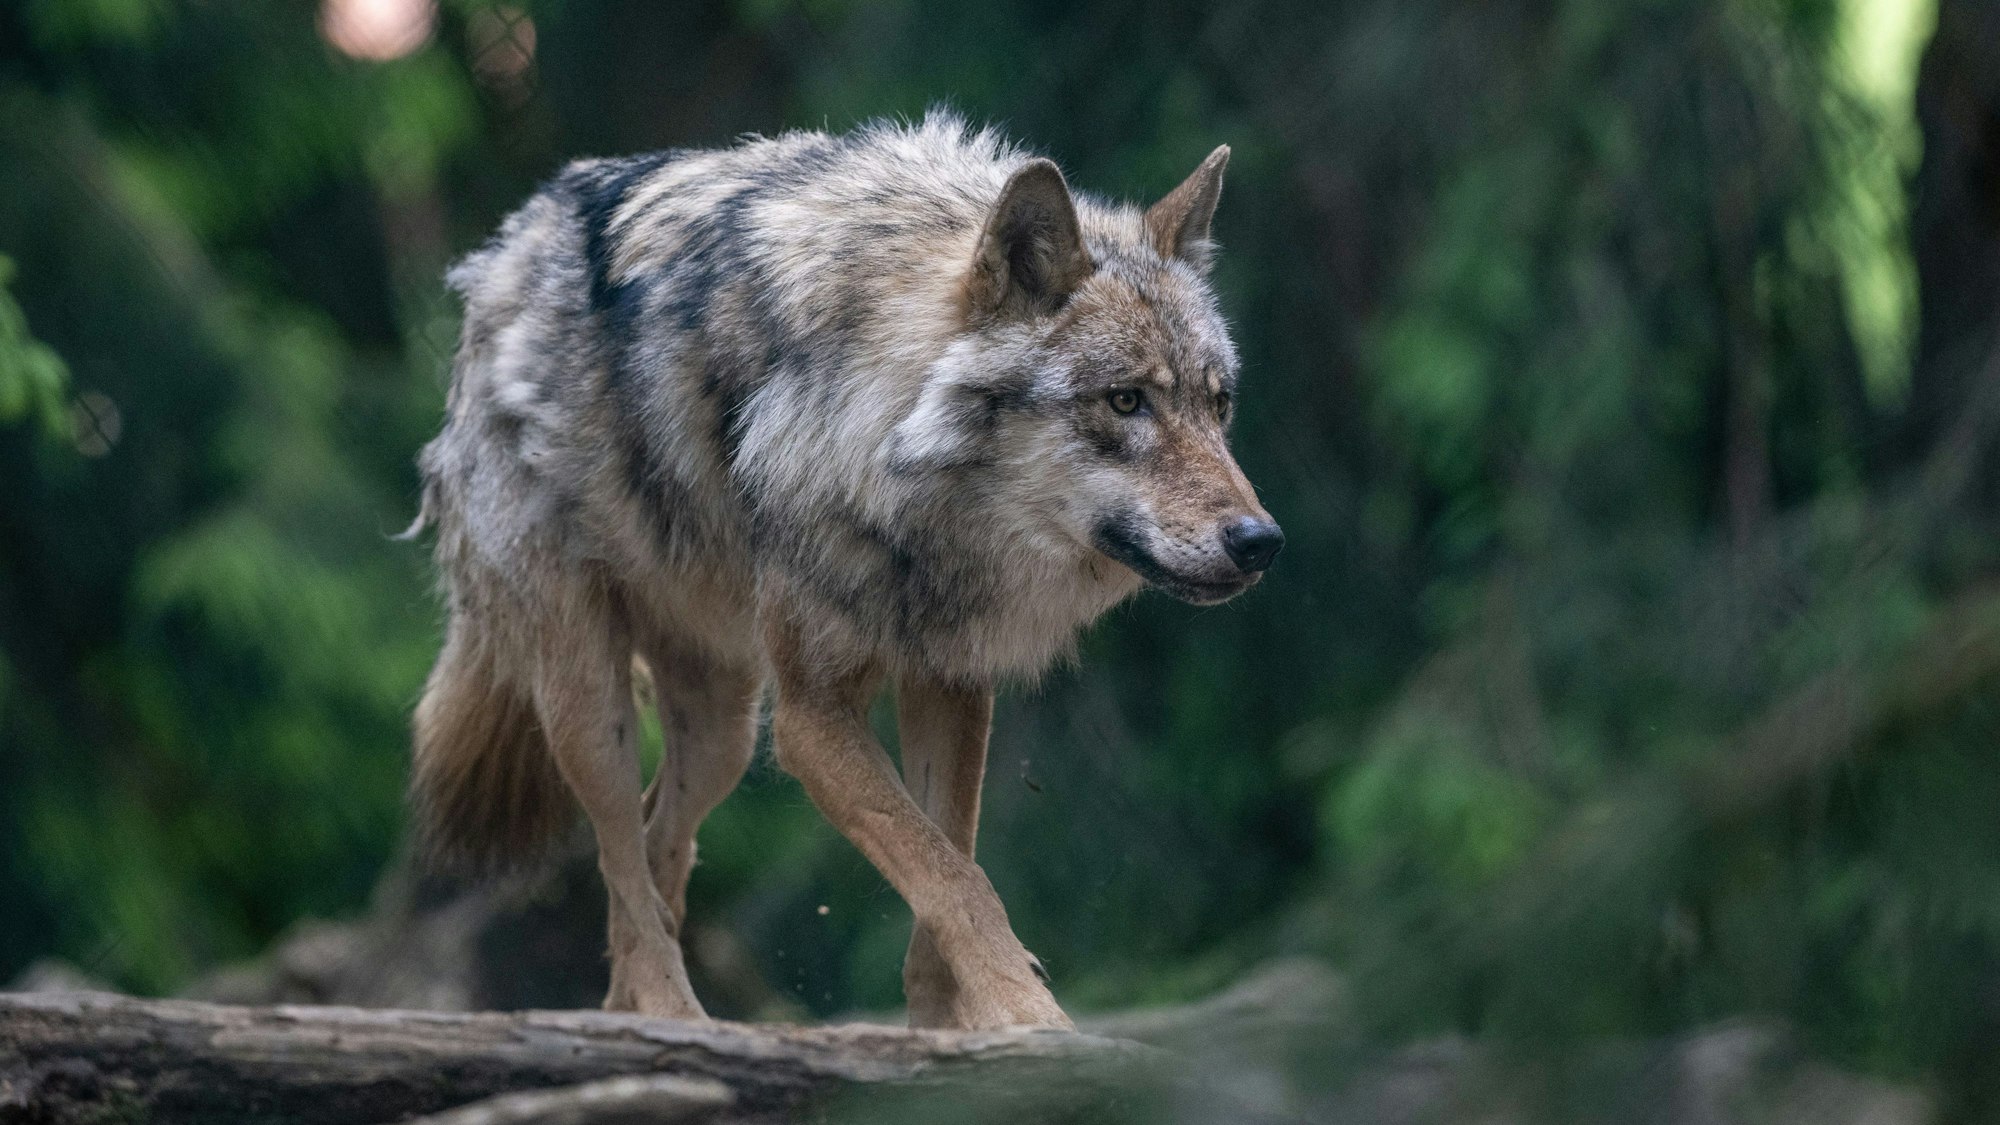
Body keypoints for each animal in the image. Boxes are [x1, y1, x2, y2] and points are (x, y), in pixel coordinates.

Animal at [407, 113, 1282, 1031]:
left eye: (1218, 405)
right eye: (1124, 401)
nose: (1260, 539)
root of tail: (504, 250)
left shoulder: (949, 682)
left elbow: (948, 862)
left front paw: (949, 1028)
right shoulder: (811, 719)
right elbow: (954, 878)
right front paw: (1029, 1016)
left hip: (721, 731)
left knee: (655, 850)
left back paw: (640, 1013)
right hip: (594, 703)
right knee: (621, 859)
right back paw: (671, 1014)